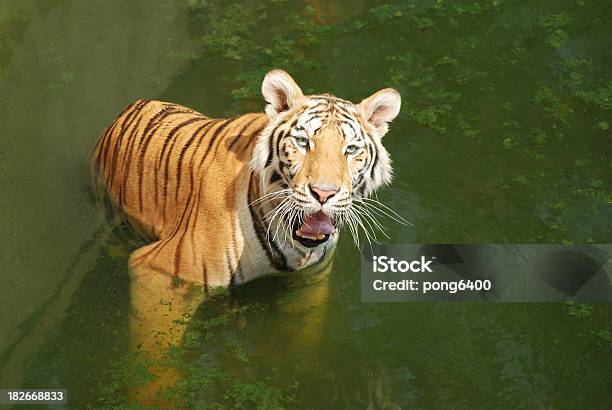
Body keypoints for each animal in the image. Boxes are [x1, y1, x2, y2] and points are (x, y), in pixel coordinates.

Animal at [87, 69, 402, 402]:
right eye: (303, 142)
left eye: (350, 149)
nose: (323, 193)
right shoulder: (163, 274)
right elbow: (155, 367)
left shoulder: (310, 280)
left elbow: (304, 337)